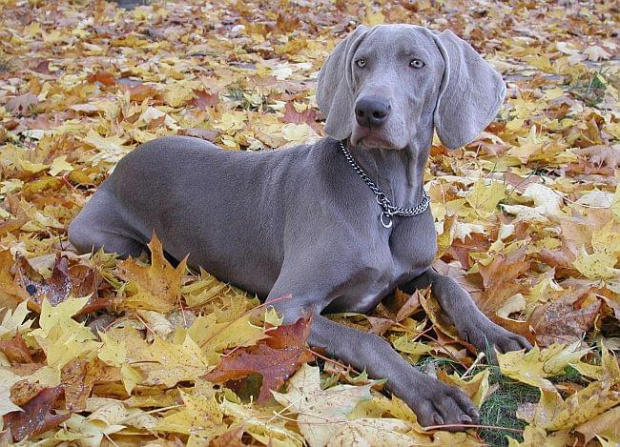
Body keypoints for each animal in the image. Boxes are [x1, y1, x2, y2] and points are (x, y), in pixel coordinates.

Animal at [70, 25, 532, 430]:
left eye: (416, 63)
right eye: (361, 62)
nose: (369, 110)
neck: (386, 199)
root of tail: (120, 164)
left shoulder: (412, 272)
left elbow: (452, 286)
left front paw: (497, 336)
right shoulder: (286, 305)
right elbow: (369, 340)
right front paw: (432, 392)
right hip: (102, 239)